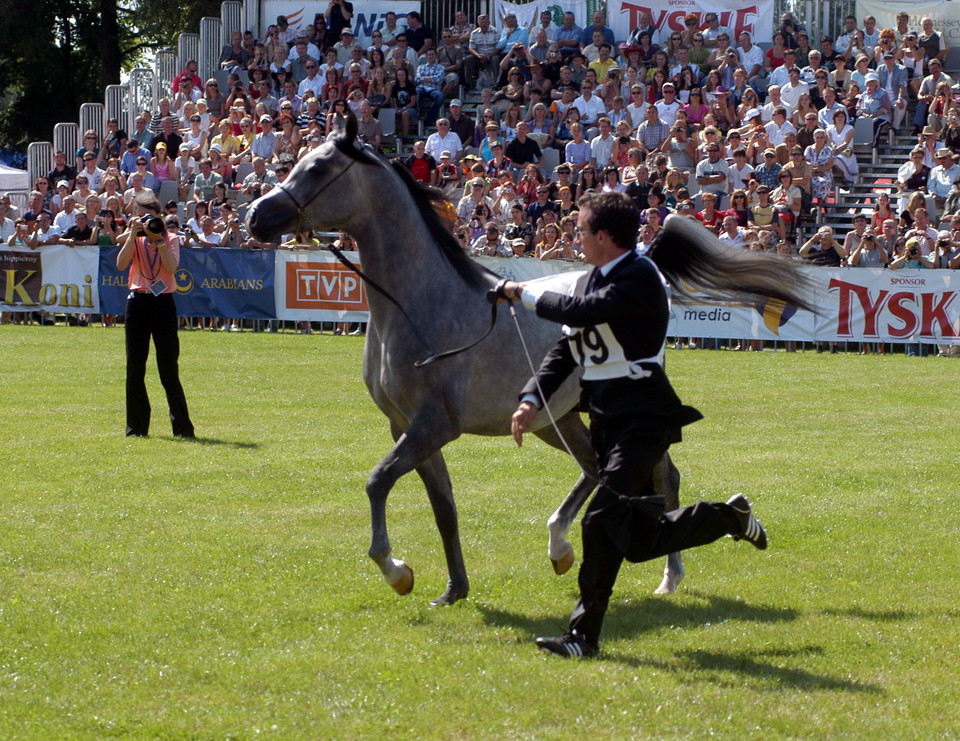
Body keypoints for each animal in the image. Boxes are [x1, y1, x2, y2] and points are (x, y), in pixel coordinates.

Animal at [244, 117, 688, 600]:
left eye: (319, 168)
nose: (256, 216)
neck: (418, 304)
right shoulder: (407, 426)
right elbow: (443, 508)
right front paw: (454, 589)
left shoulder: (434, 425)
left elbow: (377, 481)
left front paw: (396, 570)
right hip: (556, 417)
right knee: (594, 468)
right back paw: (560, 548)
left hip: (628, 415)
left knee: (663, 475)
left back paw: (669, 575)